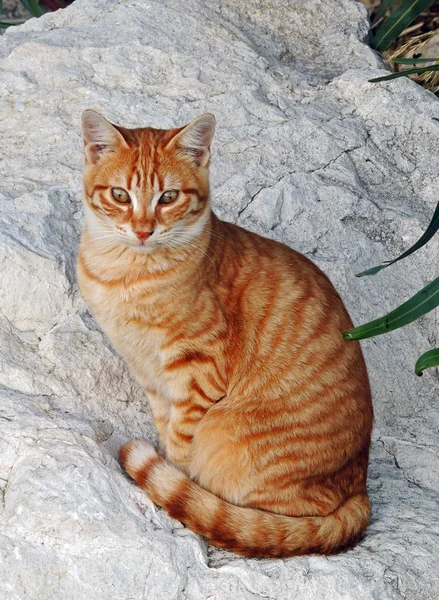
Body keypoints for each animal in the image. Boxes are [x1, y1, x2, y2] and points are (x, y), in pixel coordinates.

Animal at [77, 109, 372, 556]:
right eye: (120, 195)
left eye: (168, 197)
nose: (143, 230)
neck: (126, 273)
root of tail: (361, 487)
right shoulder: (149, 372)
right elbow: (165, 426)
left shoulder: (197, 367)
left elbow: (180, 444)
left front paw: (177, 488)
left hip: (228, 434)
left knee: (279, 521)